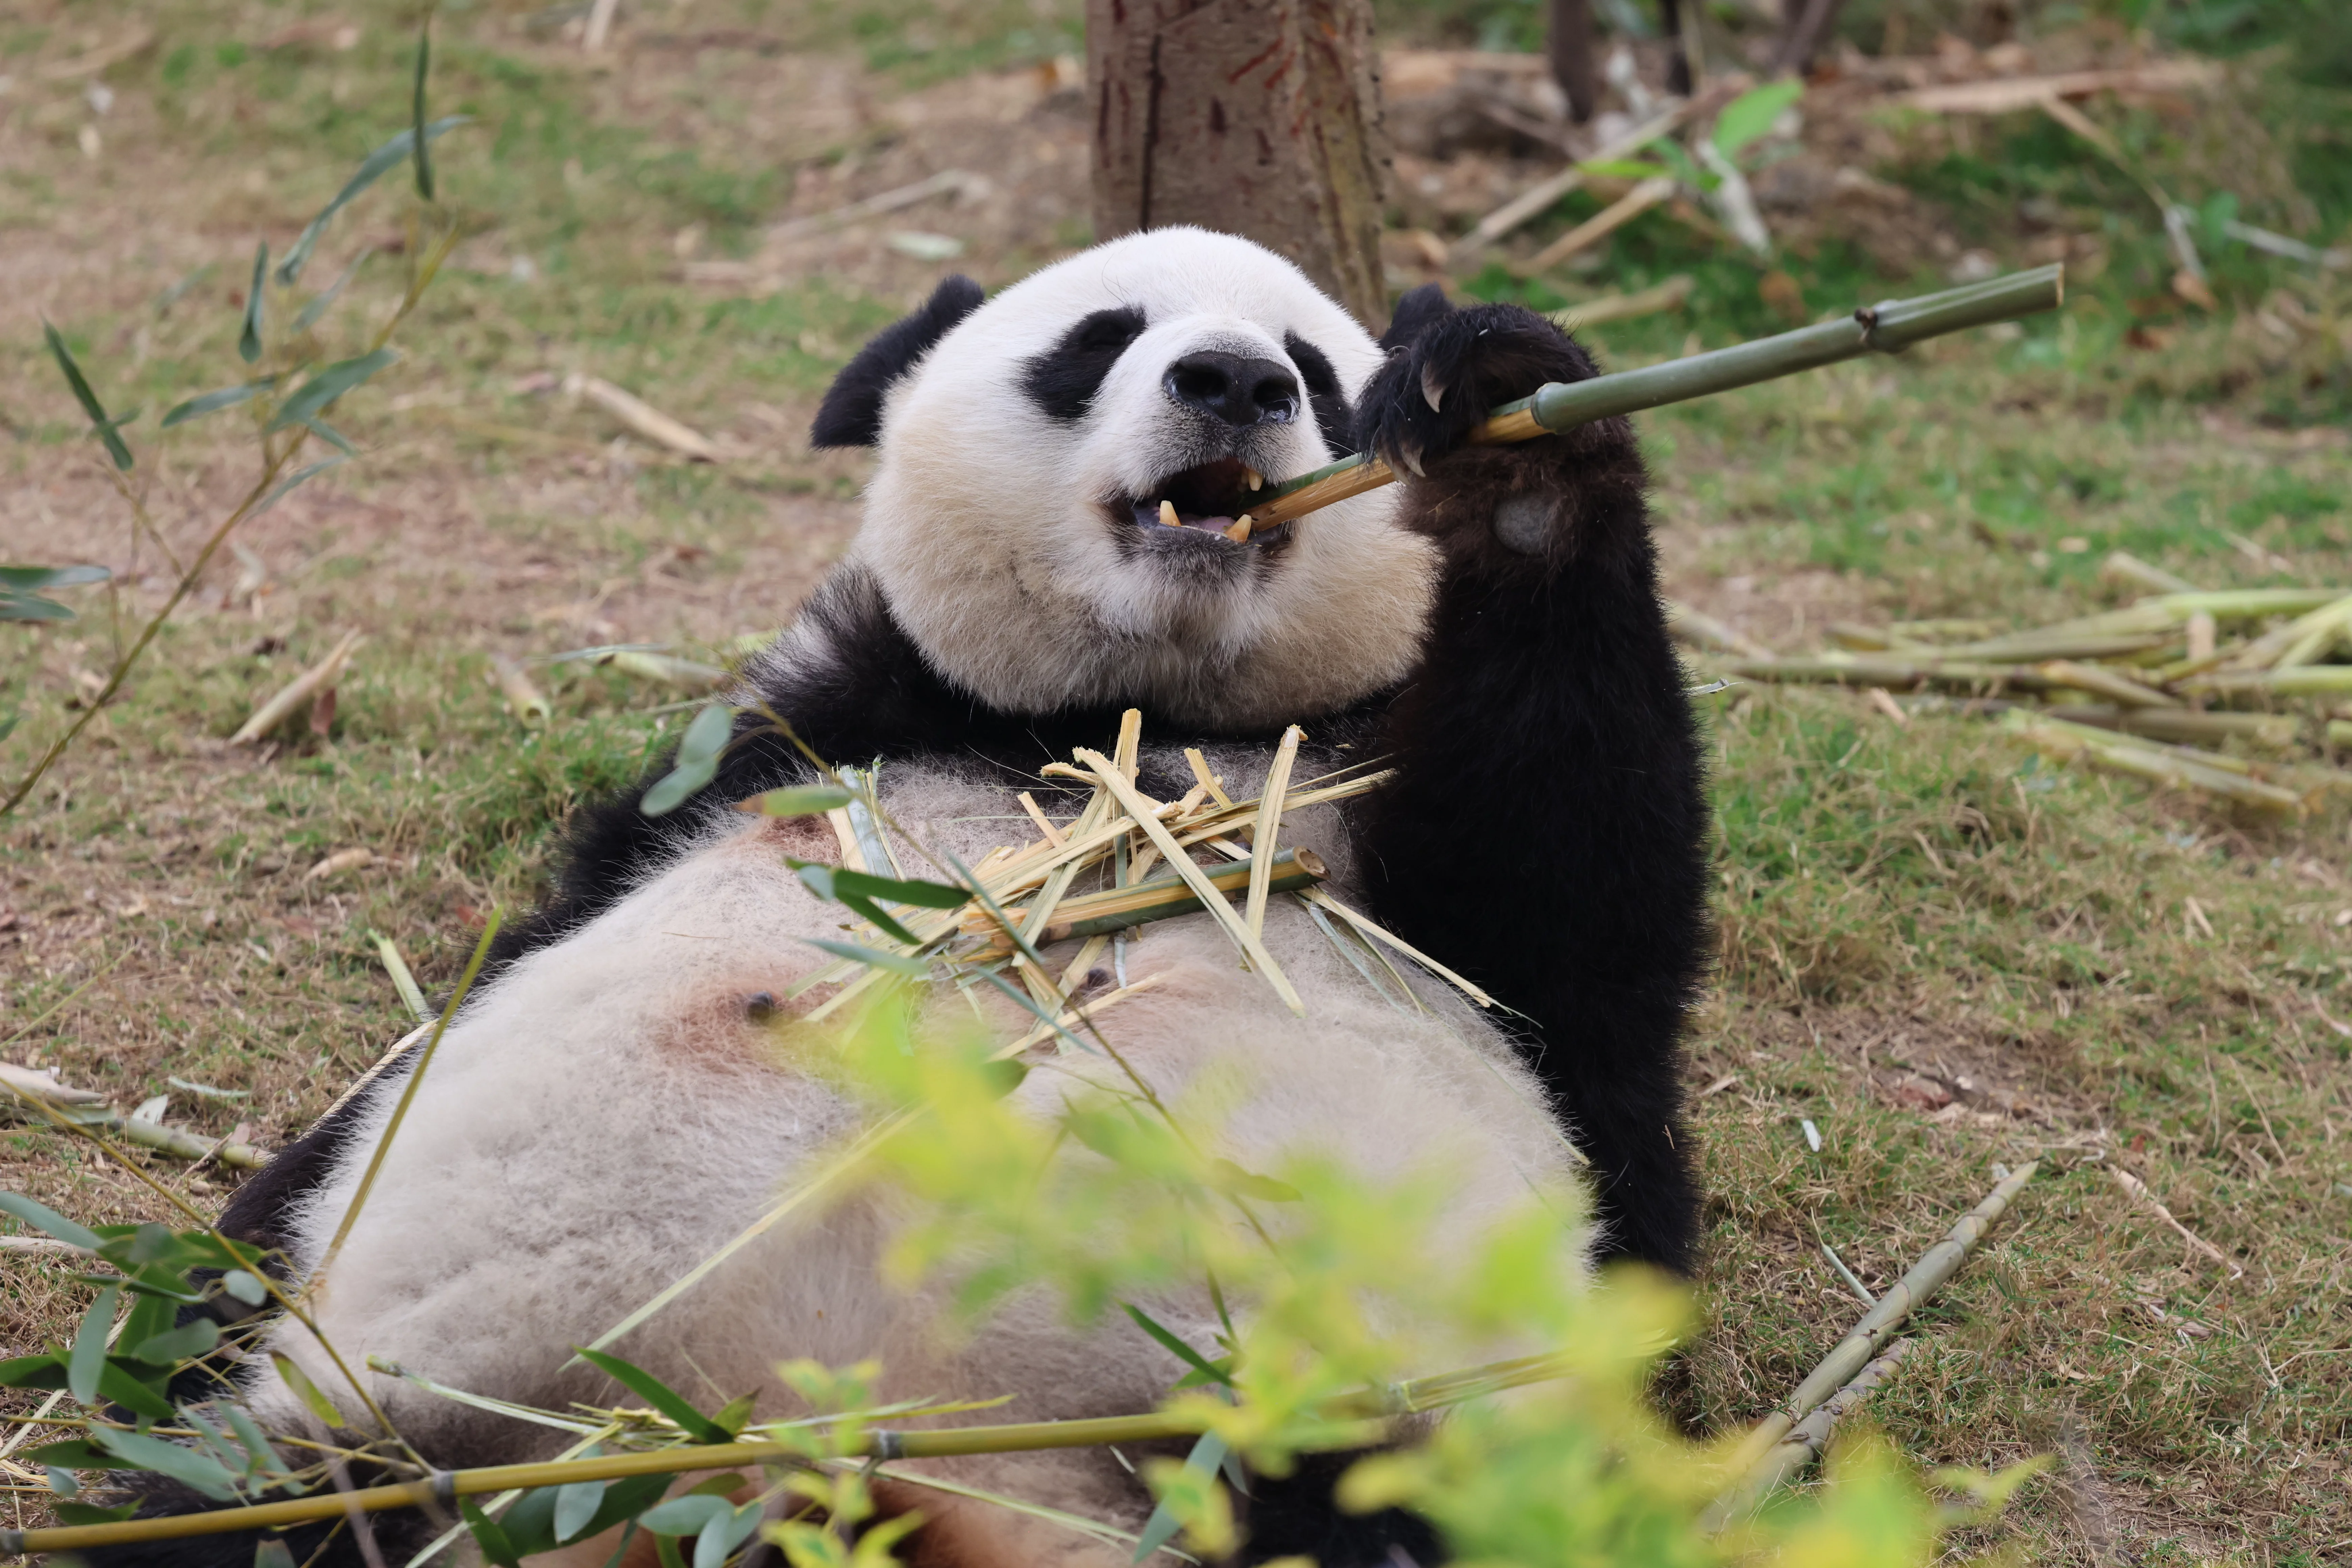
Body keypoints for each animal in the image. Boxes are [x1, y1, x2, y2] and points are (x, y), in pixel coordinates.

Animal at [89, 227, 1709, 1568]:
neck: (1118, 714)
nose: (1234, 381)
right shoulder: (794, 741)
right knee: (231, 1512)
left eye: (1312, 369)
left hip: (1314, 1412)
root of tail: (808, 1461)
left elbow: (1574, 912)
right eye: (1098, 340)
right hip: (411, 1423)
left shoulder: (1383, 823)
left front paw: (1497, 423)